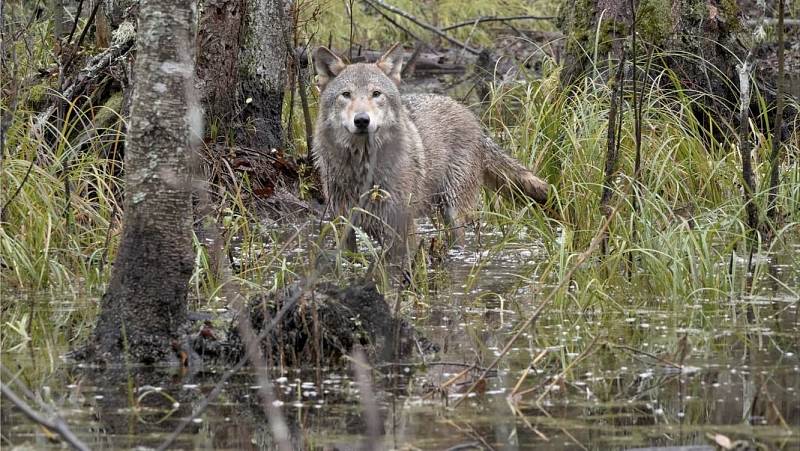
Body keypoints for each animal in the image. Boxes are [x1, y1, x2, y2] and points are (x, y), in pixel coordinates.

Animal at [312, 44, 548, 260]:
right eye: (346, 95)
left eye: (376, 94)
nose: (362, 120)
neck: (362, 166)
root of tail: (470, 116)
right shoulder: (343, 223)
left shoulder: (402, 225)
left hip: (453, 211)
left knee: (460, 242)